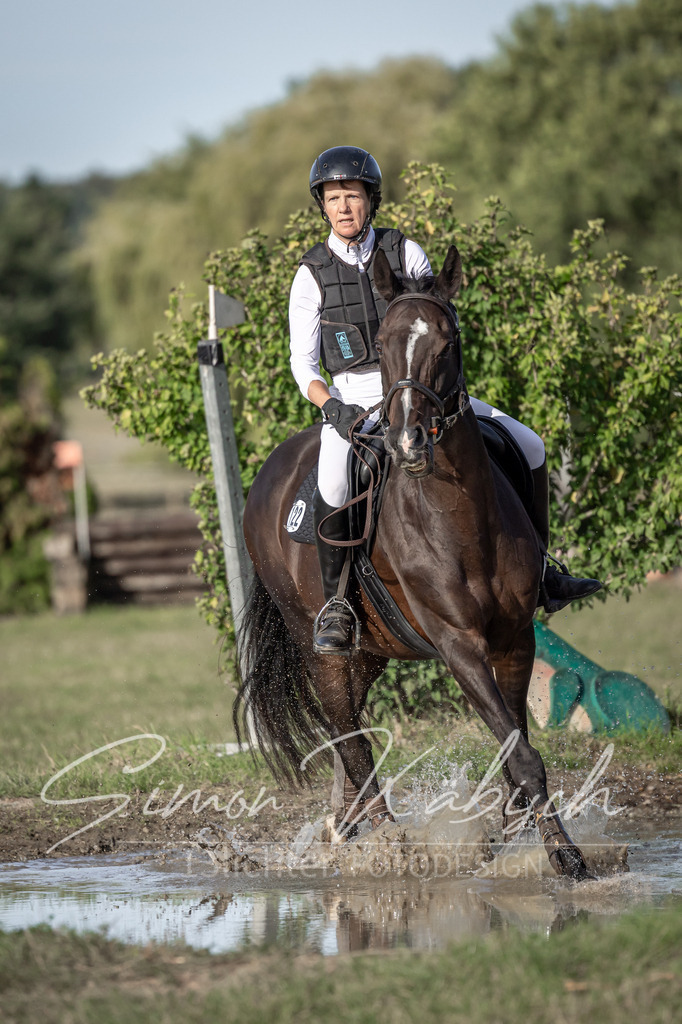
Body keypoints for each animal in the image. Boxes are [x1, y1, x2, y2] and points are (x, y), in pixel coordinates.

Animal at [235, 244, 592, 881]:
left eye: (447, 343)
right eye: (384, 344)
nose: (408, 443)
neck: (461, 520)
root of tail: (268, 475)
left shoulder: (514, 638)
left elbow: (516, 747)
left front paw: (512, 841)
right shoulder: (457, 645)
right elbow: (522, 754)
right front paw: (566, 858)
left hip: (371, 652)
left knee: (349, 735)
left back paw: (345, 829)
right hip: (320, 647)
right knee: (348, 735)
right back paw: (387, 839)